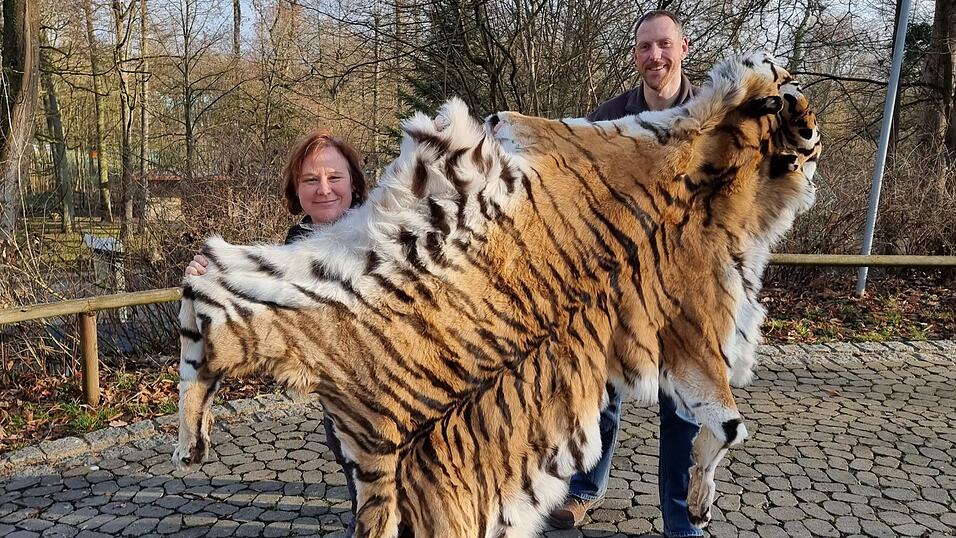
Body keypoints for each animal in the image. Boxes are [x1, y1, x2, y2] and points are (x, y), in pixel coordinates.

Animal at [173, 50, 821, 538]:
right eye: (795, 95)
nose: (812, 124)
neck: (726, 167)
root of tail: (384, 443)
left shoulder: (689, 336)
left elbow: (724, 423)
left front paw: (700, 498)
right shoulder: (700, 317)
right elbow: (729, 423)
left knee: (204, 290)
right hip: (286, 292)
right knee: (200, 296)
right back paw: (189, 444)